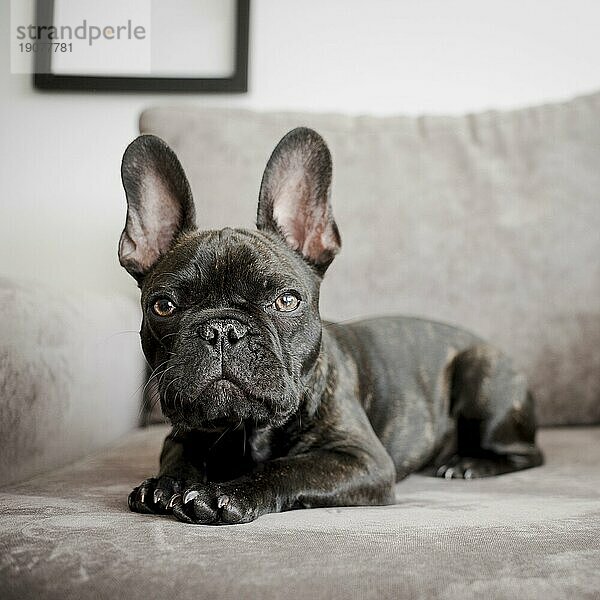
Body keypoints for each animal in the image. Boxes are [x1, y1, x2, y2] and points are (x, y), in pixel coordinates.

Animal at [119, 127, 540, 524]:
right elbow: (180, 454)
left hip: (482, 373)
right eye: (163, 306)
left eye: (287, 300)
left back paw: (468, 464)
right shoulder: (181, 433)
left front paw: (226, 493)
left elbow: (289, 467)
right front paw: (164, 486)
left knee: (528, 454)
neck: (245, 428)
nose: (223, 329)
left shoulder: (361, 459)